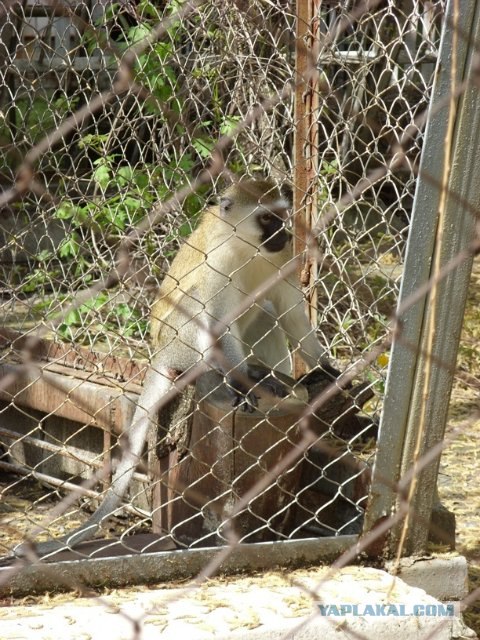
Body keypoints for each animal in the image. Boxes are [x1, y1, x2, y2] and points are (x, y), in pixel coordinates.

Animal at [16, 178, 336, 556]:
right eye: (267, 218)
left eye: (281, 217)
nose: (284, 233)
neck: (245, 247)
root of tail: (159, 355)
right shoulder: (217, 263)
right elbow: (216, 321)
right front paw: (243, 384)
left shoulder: (282, 258)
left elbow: (290, 311)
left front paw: (326, 370)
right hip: (178, 347)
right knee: (197, 305)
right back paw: (236, 376)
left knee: (267, 310)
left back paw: (265, 372)